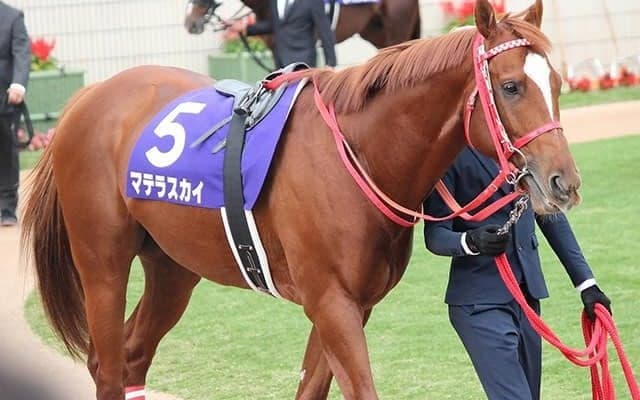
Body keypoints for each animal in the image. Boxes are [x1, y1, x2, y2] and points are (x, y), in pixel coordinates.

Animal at [22, 1, 580, 399]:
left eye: (555, 82)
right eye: (511, 86)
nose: (564, 183)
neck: (357, 155)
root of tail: (87, 100)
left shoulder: (351, 305)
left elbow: (312, 387)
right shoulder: (331, 303)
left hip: (172, 266)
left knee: (134, 356)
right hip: (102, 264)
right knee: (108, 367)